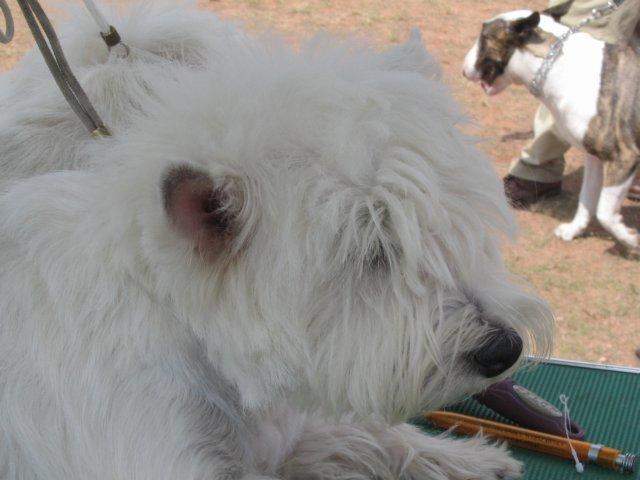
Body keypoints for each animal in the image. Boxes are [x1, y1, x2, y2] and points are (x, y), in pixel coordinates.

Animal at [0, 2, 553, 479]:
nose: (503, 348)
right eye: (373, 252)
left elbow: (372, 434)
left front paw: (475, 459)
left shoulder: (285, 432)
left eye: (447, 228)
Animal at [463, 6, 640, 253]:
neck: (557, 64)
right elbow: (587, 200)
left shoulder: (623, 157)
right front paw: (573, 230)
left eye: (484, 38)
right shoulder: (595, 158)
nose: (463, 69)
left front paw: (631, 239)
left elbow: (605, 212)